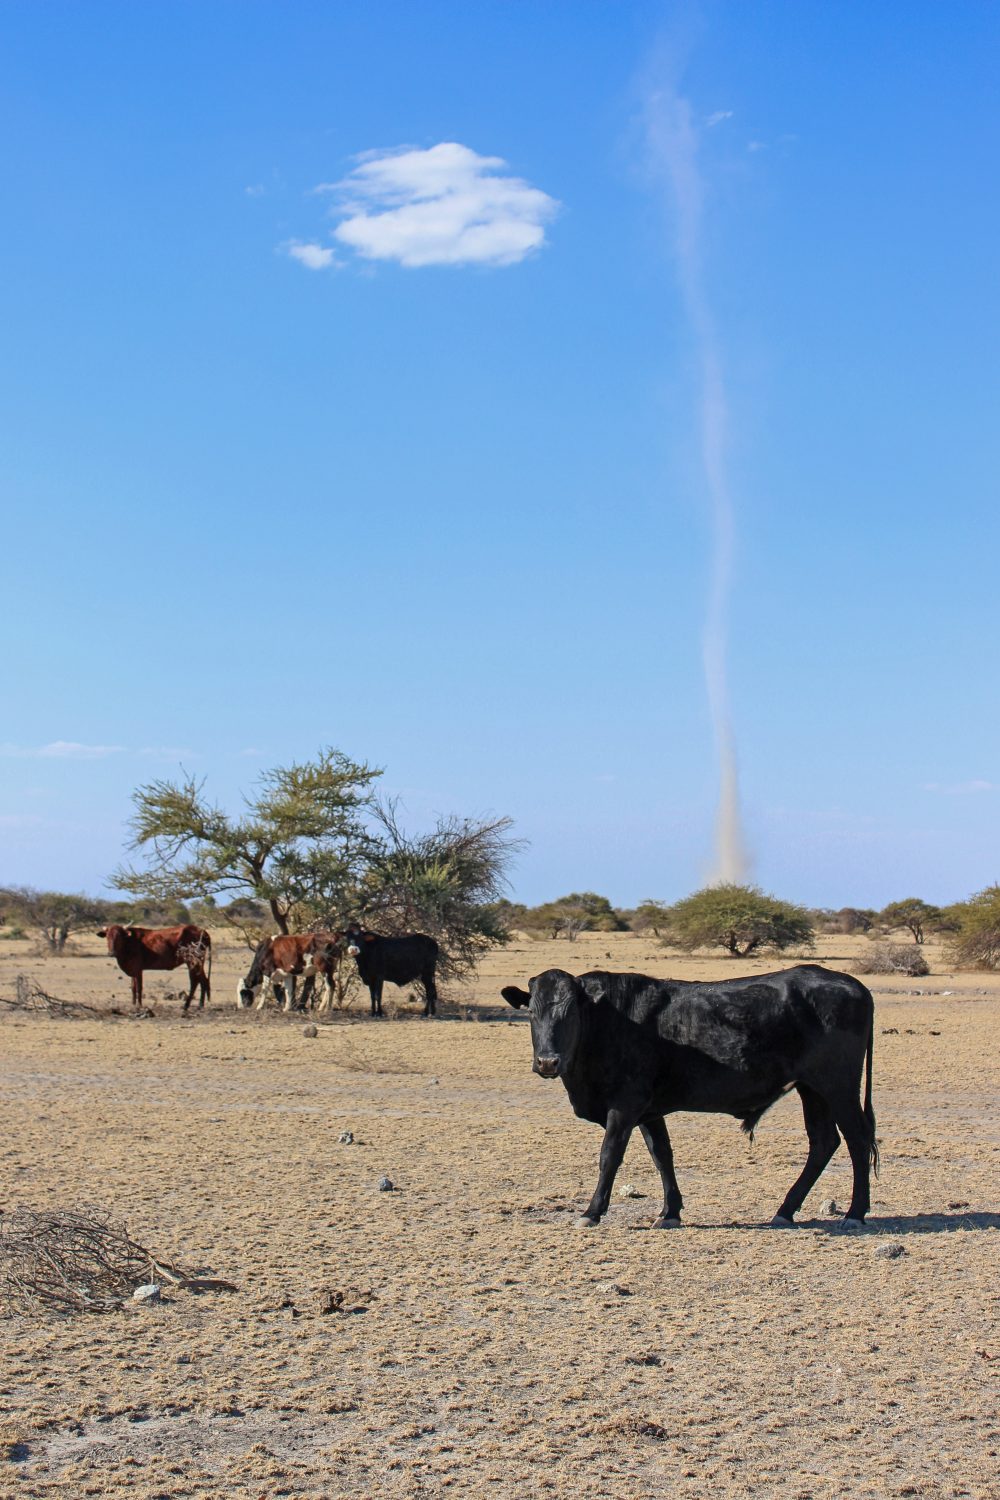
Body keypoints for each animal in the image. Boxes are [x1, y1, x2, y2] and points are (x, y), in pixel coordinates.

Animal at [501, 964, 877, 1231]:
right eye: (531, 1013)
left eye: (570, 1013)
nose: (547, 1062)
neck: (609, 1021)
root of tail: (854, 985)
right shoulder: (649, 1111)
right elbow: (662, 1155)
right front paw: (670, 1211)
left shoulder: (624, 1106)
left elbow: (610, 1156)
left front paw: (592, 1212)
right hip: (812, 1089)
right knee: (823, 1142)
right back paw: (785, 1211)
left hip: (838, 1087)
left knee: (857, 1141)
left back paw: (855, 1213)